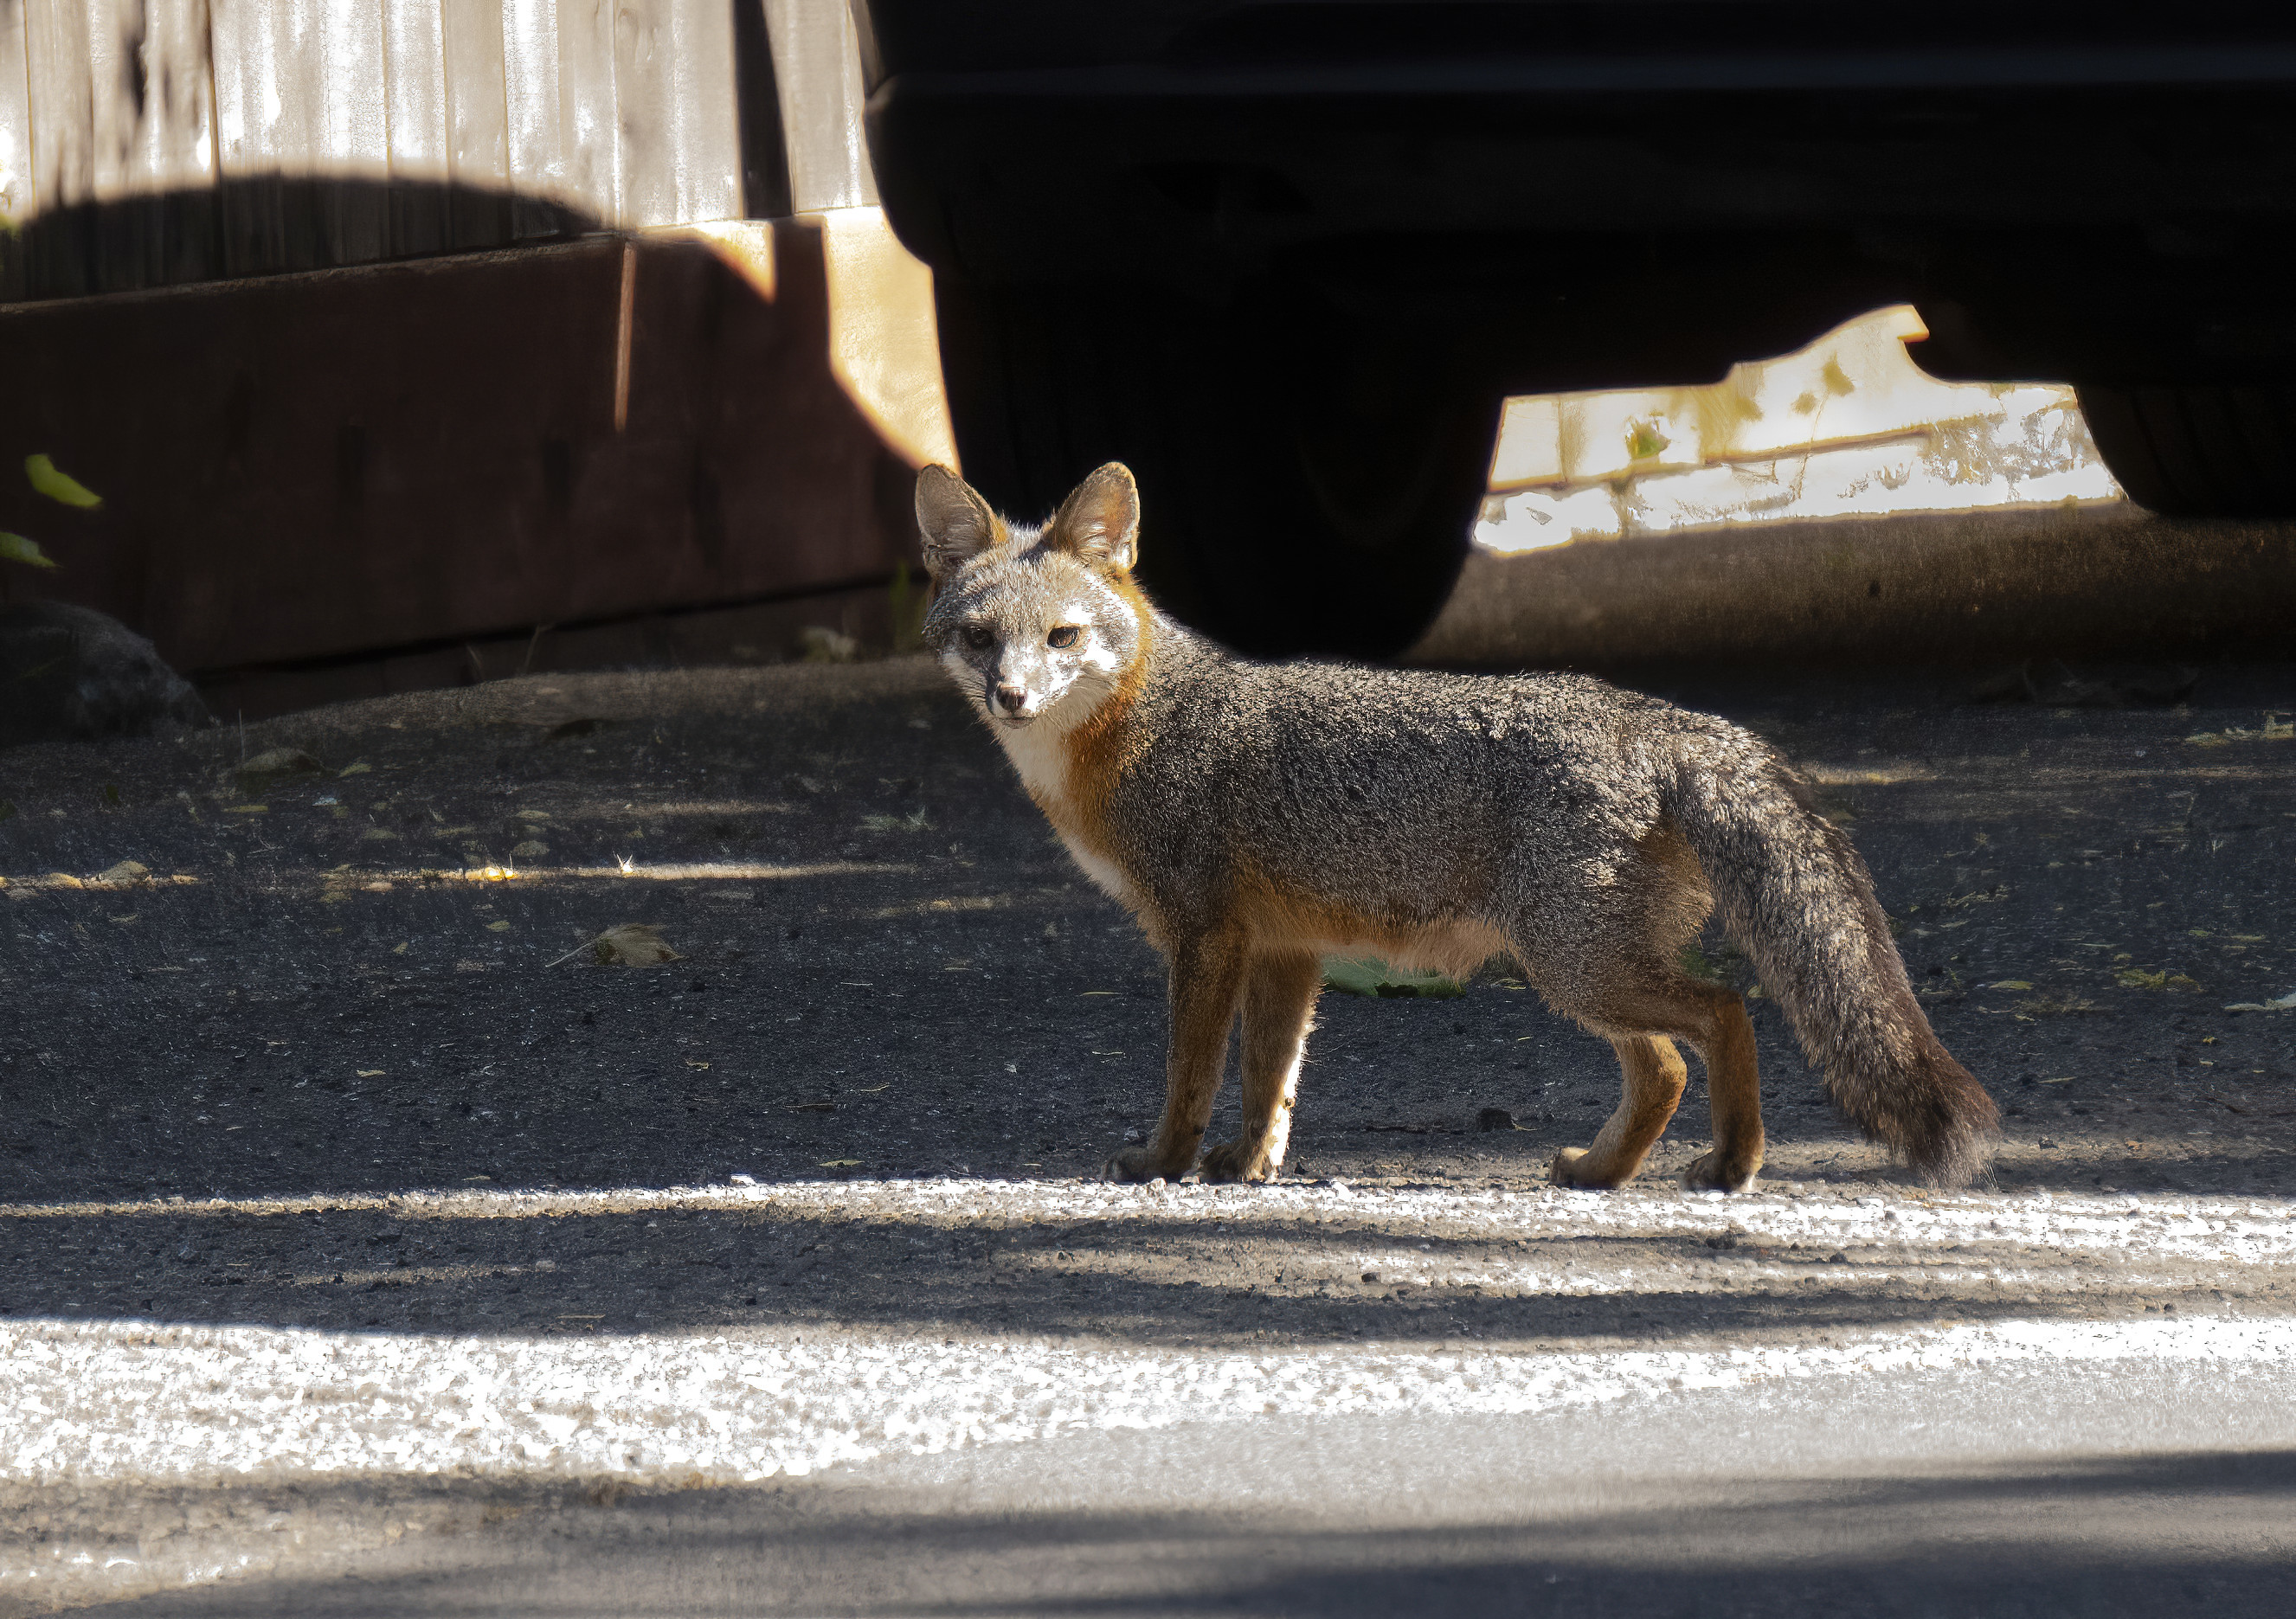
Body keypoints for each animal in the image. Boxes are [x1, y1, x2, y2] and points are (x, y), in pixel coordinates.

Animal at [915, 461, 1998, 1191]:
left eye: (1061, 637)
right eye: (979, 638)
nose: (1011, 695)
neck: (1137, 729)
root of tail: (1657, 717)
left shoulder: (1203, 934)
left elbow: (1191, 1070)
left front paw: (1164, 1160)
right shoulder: (1284, 949)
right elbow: (1269, 1080)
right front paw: (1246, 1164)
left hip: (1574, 961)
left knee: (1723, 1012)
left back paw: (1732, 1162)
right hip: (1578, 965)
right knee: (1662, 1065)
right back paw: (1601, 1169)